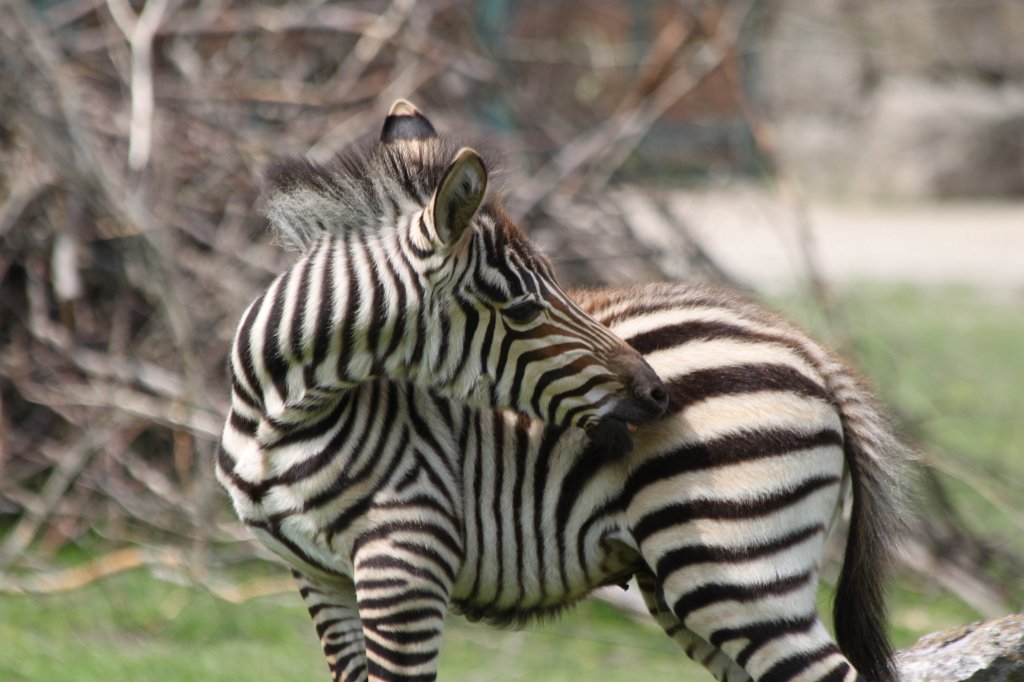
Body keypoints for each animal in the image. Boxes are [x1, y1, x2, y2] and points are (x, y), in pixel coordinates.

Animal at [217, 102, 916, 682]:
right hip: (695, 582)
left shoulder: (408, 556)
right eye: (525, 309)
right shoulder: (318, 578)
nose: (657, 397)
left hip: (736, 568)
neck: (278, 419)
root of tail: (809, 350)